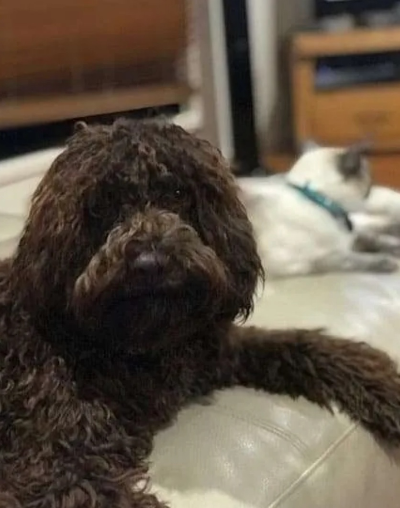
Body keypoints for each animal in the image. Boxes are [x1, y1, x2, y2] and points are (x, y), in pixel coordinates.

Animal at [239, 143, 400, 278]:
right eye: (370, 182)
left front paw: (394, 248)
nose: (372, 190)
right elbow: (354, 258)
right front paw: (387, 261)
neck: (319, 201)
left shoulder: (350, 237)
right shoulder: (322, 259)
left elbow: (374, 240)